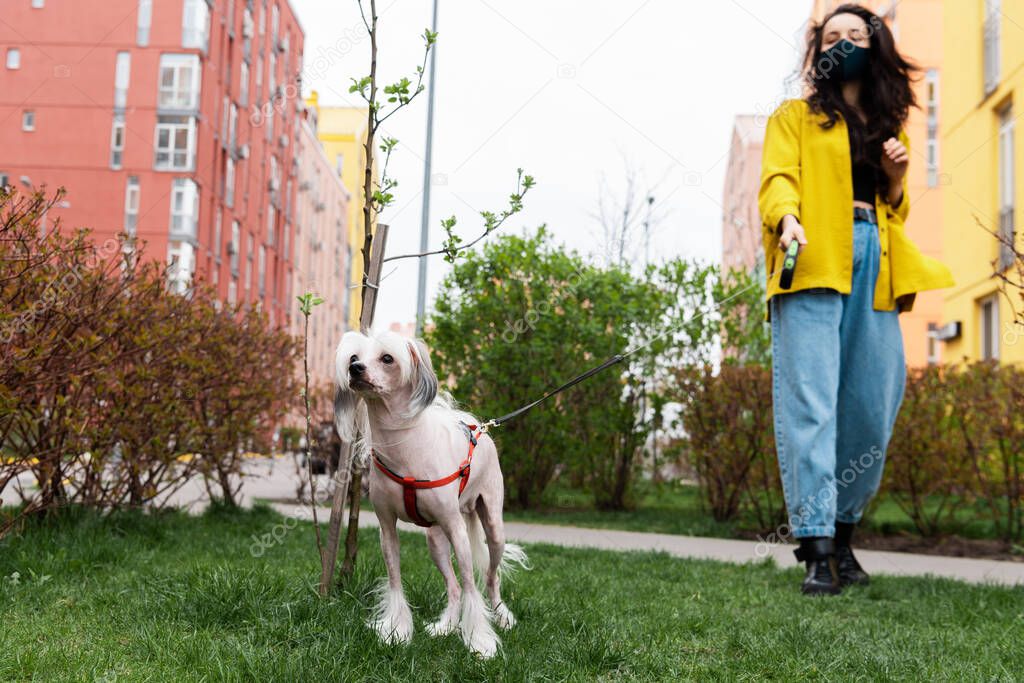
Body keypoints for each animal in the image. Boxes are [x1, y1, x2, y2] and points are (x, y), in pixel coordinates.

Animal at [333, 333, 532, 659]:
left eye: (387, 358)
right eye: (353, 358)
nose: (356, 369)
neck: (405, 447)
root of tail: (479, 427)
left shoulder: (456, 529)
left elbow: (472, 588)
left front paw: (480, 643)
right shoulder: (387, 527)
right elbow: (396, 583)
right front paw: (397, 631)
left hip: (493, 529)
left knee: (491, 578)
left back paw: (502, 616)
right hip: (435, 541)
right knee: (453, 587)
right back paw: (446, 627)